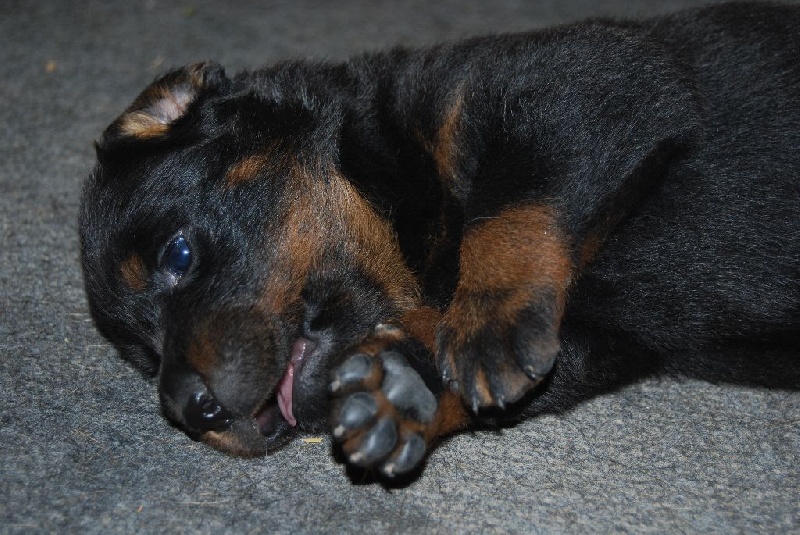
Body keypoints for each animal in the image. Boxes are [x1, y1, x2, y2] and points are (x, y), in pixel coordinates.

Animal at [81, 3, 800, 482]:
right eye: (145, 358)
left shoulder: (588, 76)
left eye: (177, 254)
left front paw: (490, 320)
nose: (189, 407)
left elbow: (516, 200)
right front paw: (398, 387)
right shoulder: (606, 339)